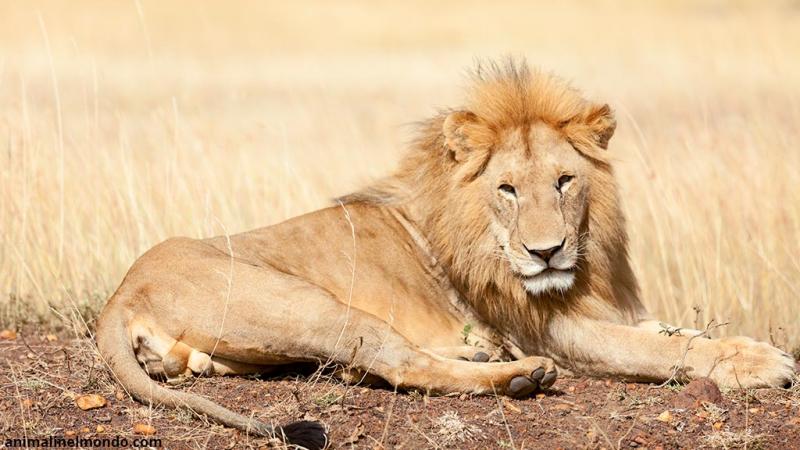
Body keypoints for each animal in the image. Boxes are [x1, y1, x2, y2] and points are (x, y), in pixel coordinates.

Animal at [96, 59, 796, 448]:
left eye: (564, 181)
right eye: (506, 189)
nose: (547, 253)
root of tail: (120, 293)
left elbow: (677, 332)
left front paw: (748, 348)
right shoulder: (556, 330)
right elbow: (659, 350)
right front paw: (764, 365)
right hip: (312, 303)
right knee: (399, 364)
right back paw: (518, 376)